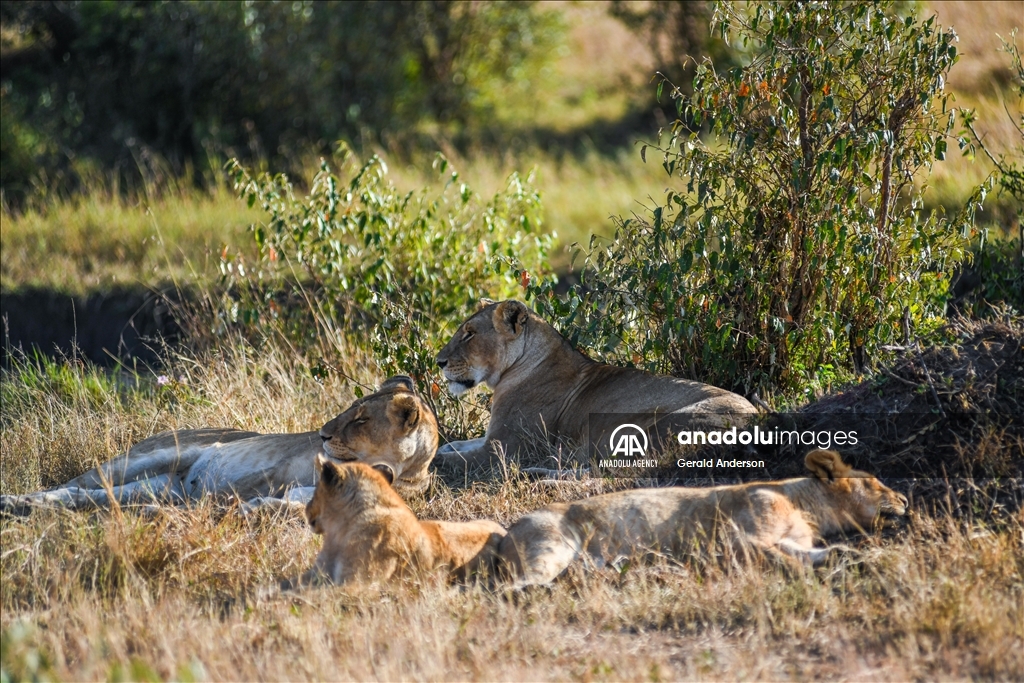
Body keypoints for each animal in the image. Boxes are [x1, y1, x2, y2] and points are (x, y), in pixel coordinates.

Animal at [499, 448, 909, 589]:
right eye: (874, 483)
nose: (906, 500)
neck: (804, 507)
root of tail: (506, 532)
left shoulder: (792, 541)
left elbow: (821, 553)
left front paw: (858, 559)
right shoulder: (735, 540)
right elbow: (785, 562)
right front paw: (808, 580)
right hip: (552, 545)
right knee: (511, 587)